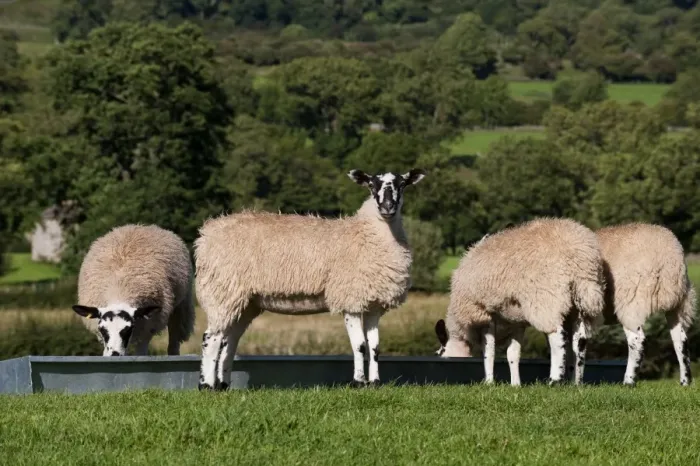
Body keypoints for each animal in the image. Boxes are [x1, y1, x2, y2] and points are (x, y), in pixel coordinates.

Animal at [71, 224, 195, 356]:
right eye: (102, 329)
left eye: (128, 329)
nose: (115, 355)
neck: (119, 292)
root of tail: (142, 226)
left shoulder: (148, 328)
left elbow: (141, 353)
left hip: (181, 307)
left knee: (174, 340)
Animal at [194, 168, 426, 390]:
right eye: (371, 184)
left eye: (402, 184)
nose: (387, 207)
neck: (368, 233)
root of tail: (207, 234)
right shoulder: (350, 297)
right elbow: (359, 345)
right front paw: (359, 382)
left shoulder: (373, 303)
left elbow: (375, 346)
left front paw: (375, 383)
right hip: (222, 291)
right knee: (211, 338)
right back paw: (207, 385)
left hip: (244, 301)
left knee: (229, 340)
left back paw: (223, 385)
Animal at [434, 218, 606, 386]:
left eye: (440, 354)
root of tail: (579, 254)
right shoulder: (516, 321)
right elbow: (513, 354)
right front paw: (515, 384)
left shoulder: (484, 314)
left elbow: (488, 351)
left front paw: (488, 382)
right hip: (582, 300)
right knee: (580, 340)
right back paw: (576, 382)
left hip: (546, 299)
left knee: (557, 338)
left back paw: (554, 380)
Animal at [597, 223, 696, 386]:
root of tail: (669, 254)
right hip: (677, 301)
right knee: (680, 340)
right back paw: (685, 381)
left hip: (631, 301)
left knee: (637, 340)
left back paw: (628, 381)